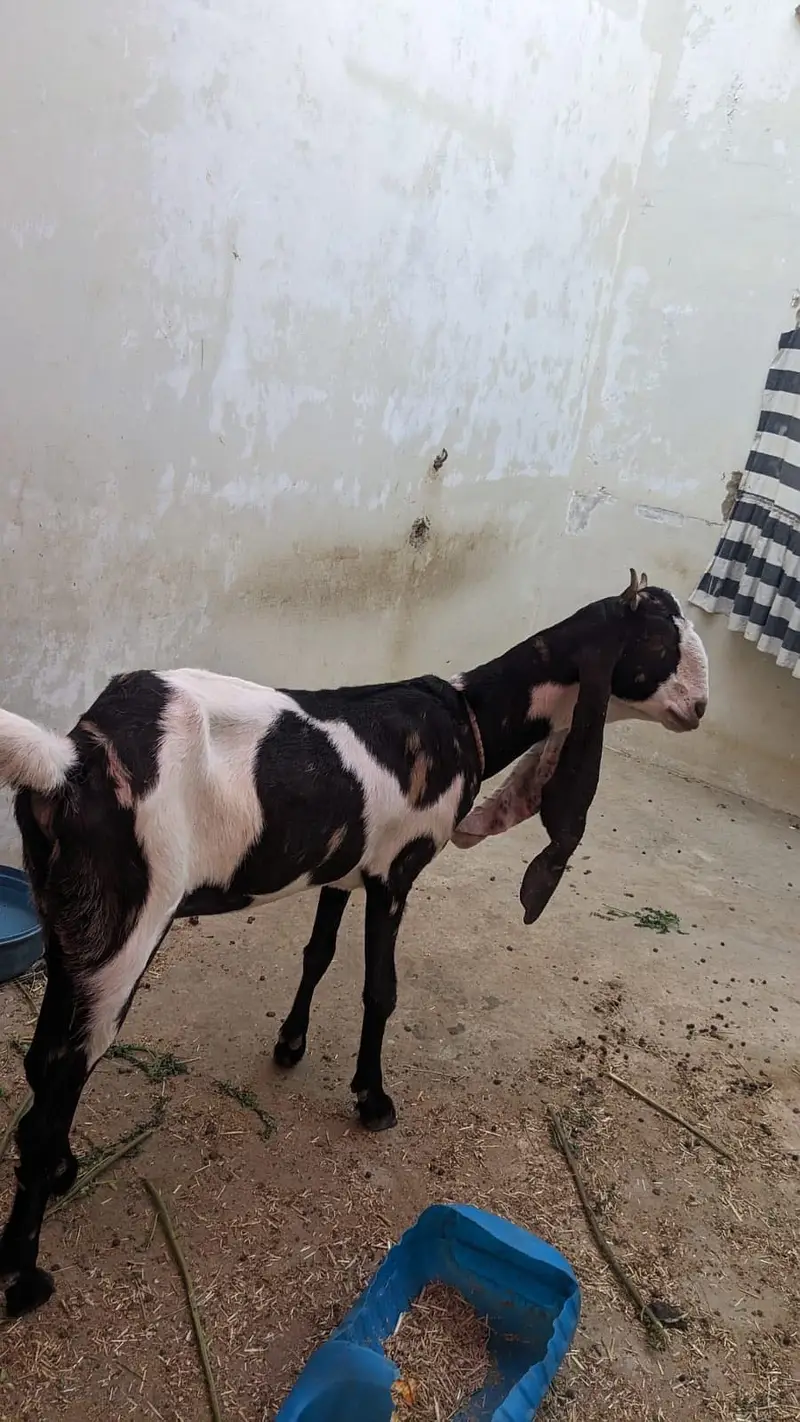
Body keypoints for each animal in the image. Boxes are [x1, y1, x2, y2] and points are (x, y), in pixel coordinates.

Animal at [0, 571, 708, 1314]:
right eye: (659, 638)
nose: (699, 708)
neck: (468, 717)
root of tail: (71, 761)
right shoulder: (396, 872)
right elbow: (380, 990)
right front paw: (373, 1100)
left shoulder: (342, 870)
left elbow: (318, 954)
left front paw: (291, 1045)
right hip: (125, 927)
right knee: (62, 1081)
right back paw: (23, 1275)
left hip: (69, 922)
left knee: (44, 1060)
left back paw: (63, 1172)